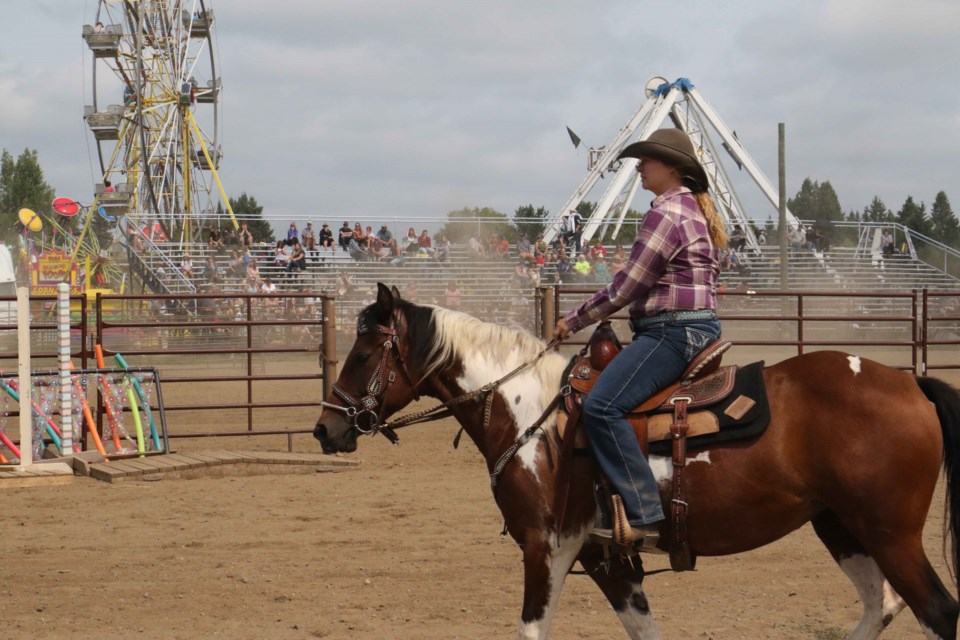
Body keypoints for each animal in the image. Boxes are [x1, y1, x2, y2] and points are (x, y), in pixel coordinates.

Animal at [314, 284, 960, 640]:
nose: (327, 428)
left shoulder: (546, 546)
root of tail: (911, 382)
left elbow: (531, 626)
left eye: (365, 353)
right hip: (840, 526)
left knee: (937, 609)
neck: (527, 413)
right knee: (883, 604)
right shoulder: (606, 559)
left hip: (891, 534)